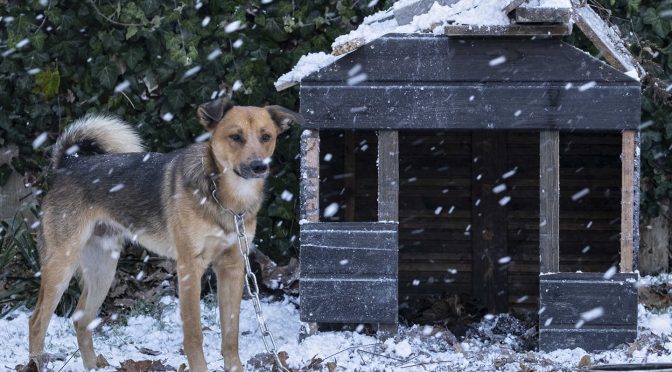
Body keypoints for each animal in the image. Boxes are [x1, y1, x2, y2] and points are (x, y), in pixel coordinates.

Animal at [27, 97, 304, 370]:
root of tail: (68, 163)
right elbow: (194, 333)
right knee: (37, 322)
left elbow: (230, 334)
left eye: (266, 136)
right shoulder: (190, 267)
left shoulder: (232, 266)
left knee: (81, 320)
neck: (225, 199)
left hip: (103, 268)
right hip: (62, 264)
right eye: (236, 137)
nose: (259, 167)